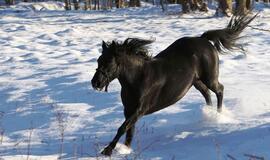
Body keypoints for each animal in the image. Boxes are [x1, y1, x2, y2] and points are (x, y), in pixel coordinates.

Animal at [92, 13, 256, 156]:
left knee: (219, 90)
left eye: (109, 62)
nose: (95, 83)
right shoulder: (128, 110)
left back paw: (219, 115)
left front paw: (107, 150)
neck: (138, 79)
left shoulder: (139, 110)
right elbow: (129, 131)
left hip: (209, 78)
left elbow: (123, 127)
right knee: (207, 94)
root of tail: (204, 40)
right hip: (196, 82)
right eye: (99, 60)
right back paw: (208, 115)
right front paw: (125, 149)